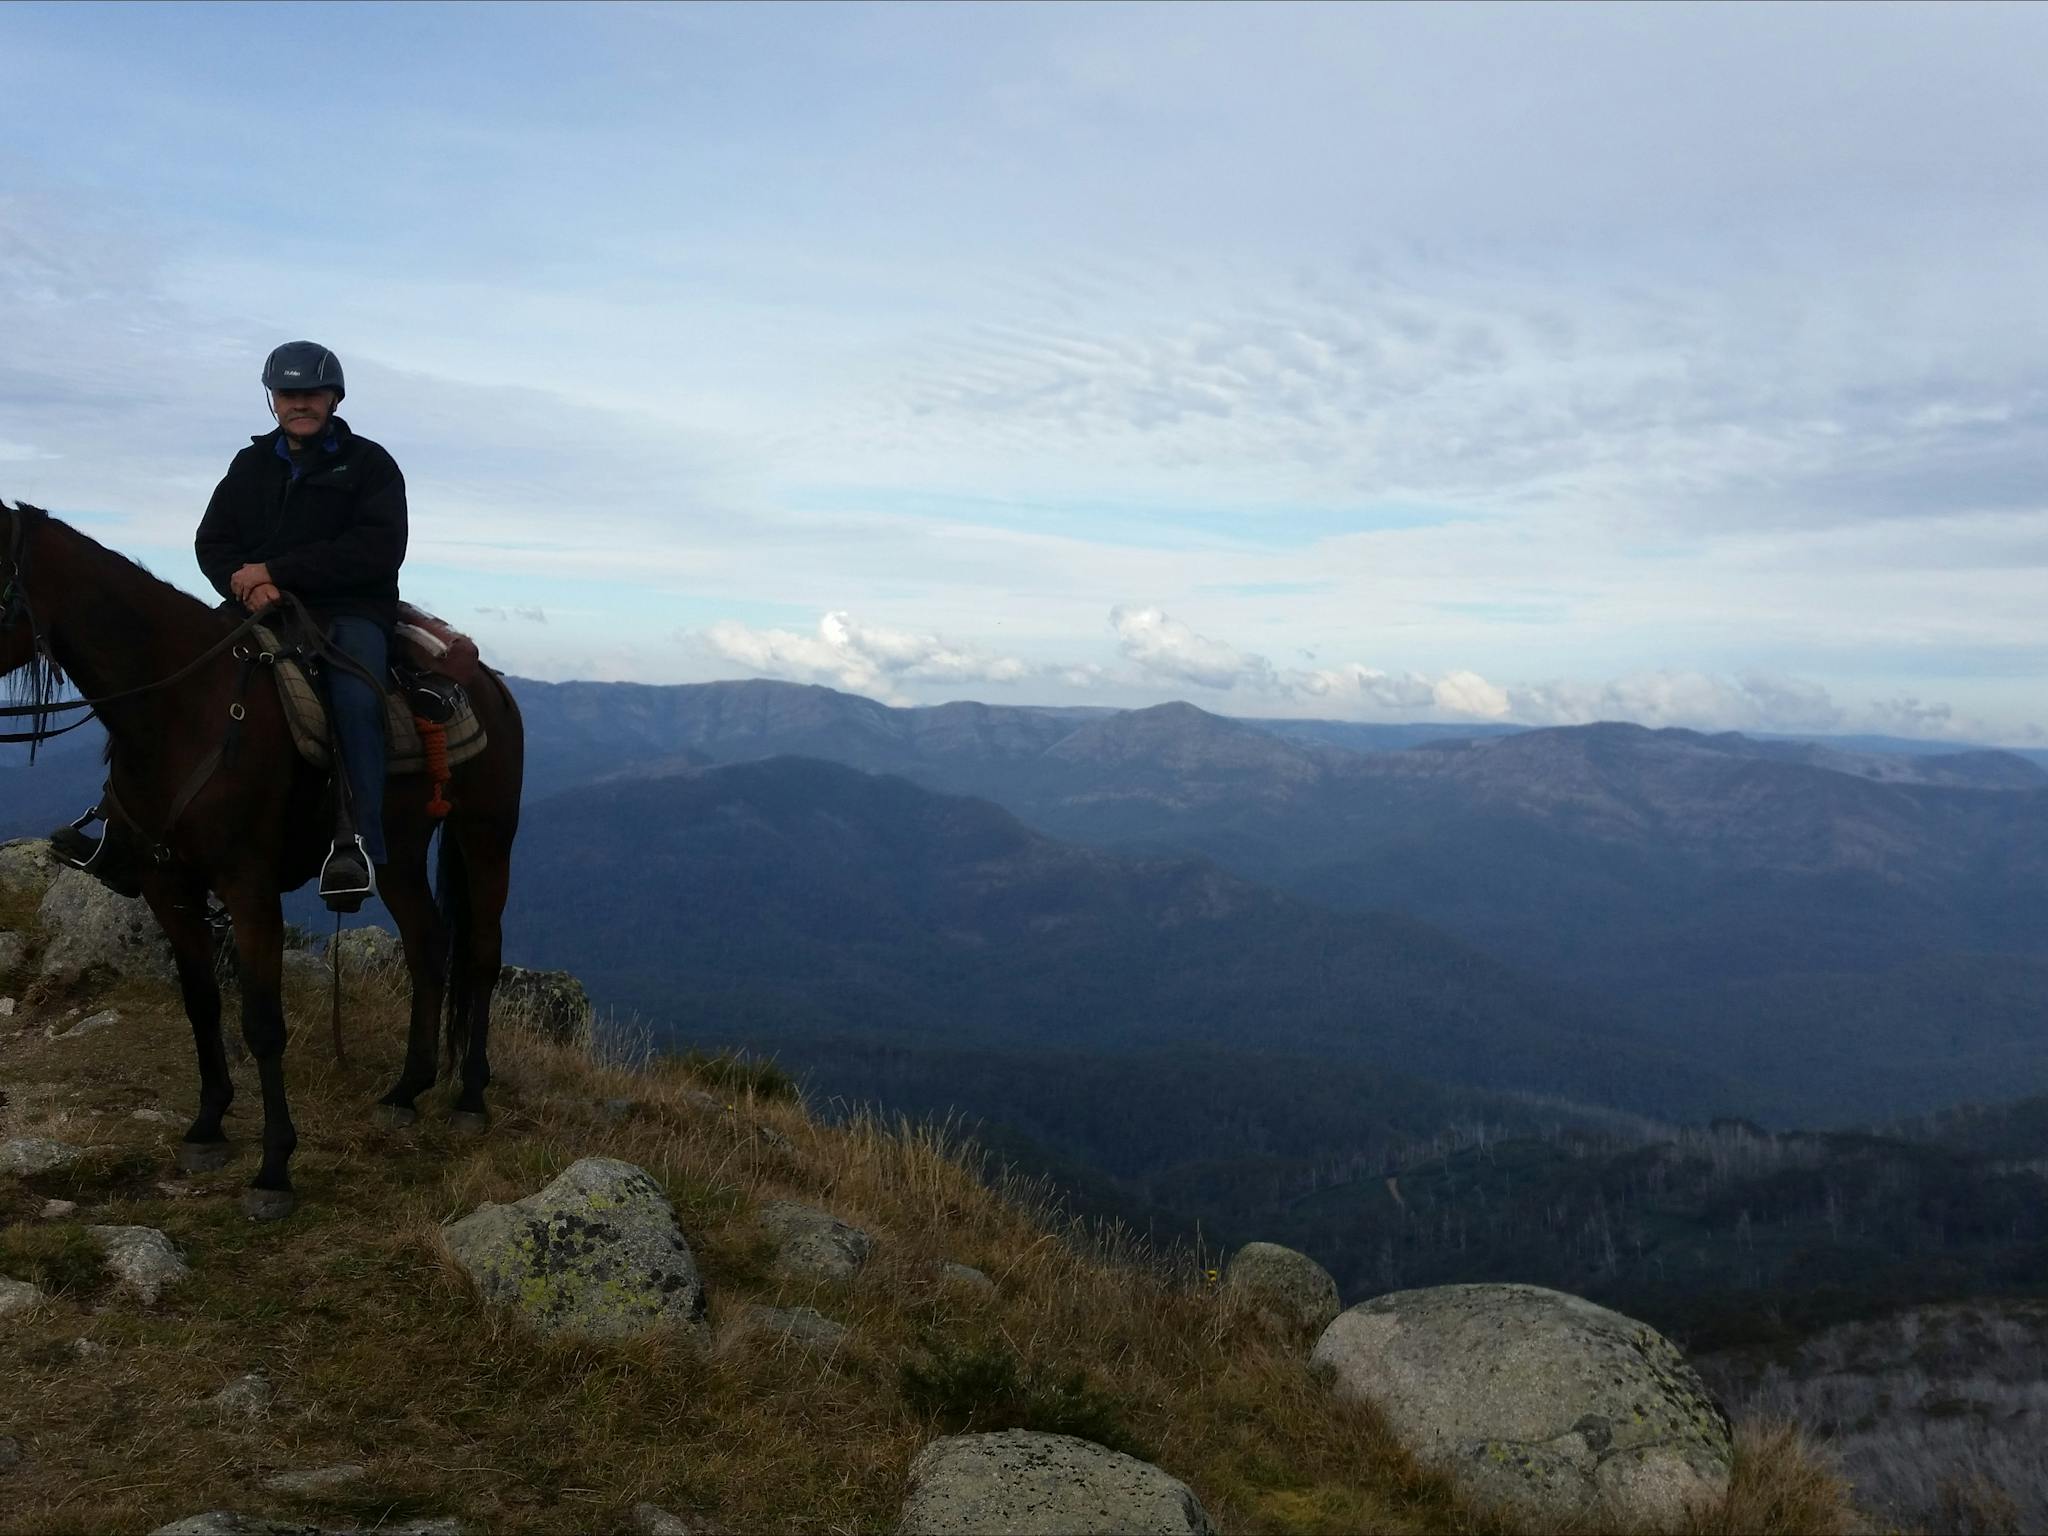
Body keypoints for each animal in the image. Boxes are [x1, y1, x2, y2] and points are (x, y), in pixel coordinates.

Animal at [0, 505, 524, 1228]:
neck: (182, 709)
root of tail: (489, 682)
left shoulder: (248, 888)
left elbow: (263, 1024)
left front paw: (274, 1168)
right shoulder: (167, 884)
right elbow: (201, 1004)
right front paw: (207, 1127)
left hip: (485, 835)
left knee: (479, 955)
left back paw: (470, 1097)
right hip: (398, 854)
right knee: (427, 946)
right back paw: (405, 1092)